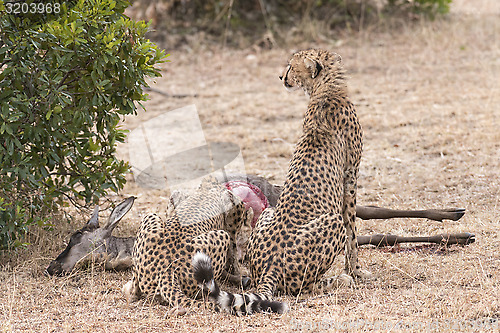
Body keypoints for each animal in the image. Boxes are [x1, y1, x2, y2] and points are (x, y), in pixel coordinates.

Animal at [121, 175, 254, 312]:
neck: (209, 187)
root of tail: (166, 270)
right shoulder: (232, 218)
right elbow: (233, 251)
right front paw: (239, 273)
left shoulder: (176, 197)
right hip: (221, 236)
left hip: (149, 217)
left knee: (134, 293)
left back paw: (129, 289)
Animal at [193, 47, 374, 314]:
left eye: (290, 66)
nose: (281, 76)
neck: (325, 89)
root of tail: (271, 266)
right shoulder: (350, 176)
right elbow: (353, 232)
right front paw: (356, 271)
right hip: (332, 222)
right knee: (306, 287)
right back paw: (340, 279)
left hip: (268, 213)